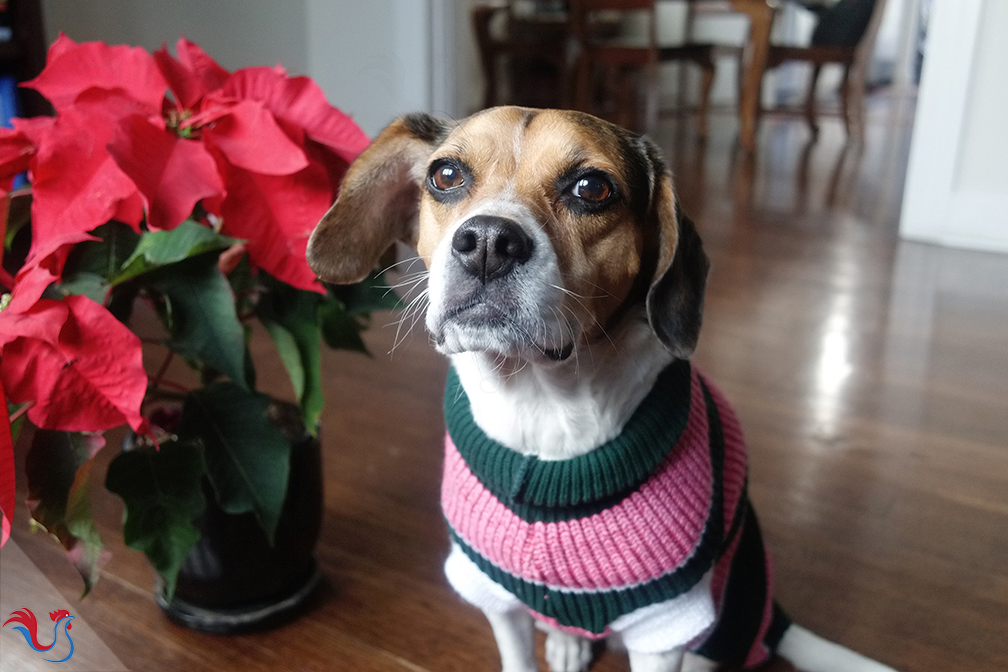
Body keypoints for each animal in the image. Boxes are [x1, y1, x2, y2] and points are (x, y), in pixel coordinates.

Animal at [306, 107, 899, 672]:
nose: (487, 243)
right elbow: (518, 657)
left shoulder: (665, 622)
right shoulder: (495, 595)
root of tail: (772, 620)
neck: (541, 406)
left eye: (592, 188)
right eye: (445, 175)